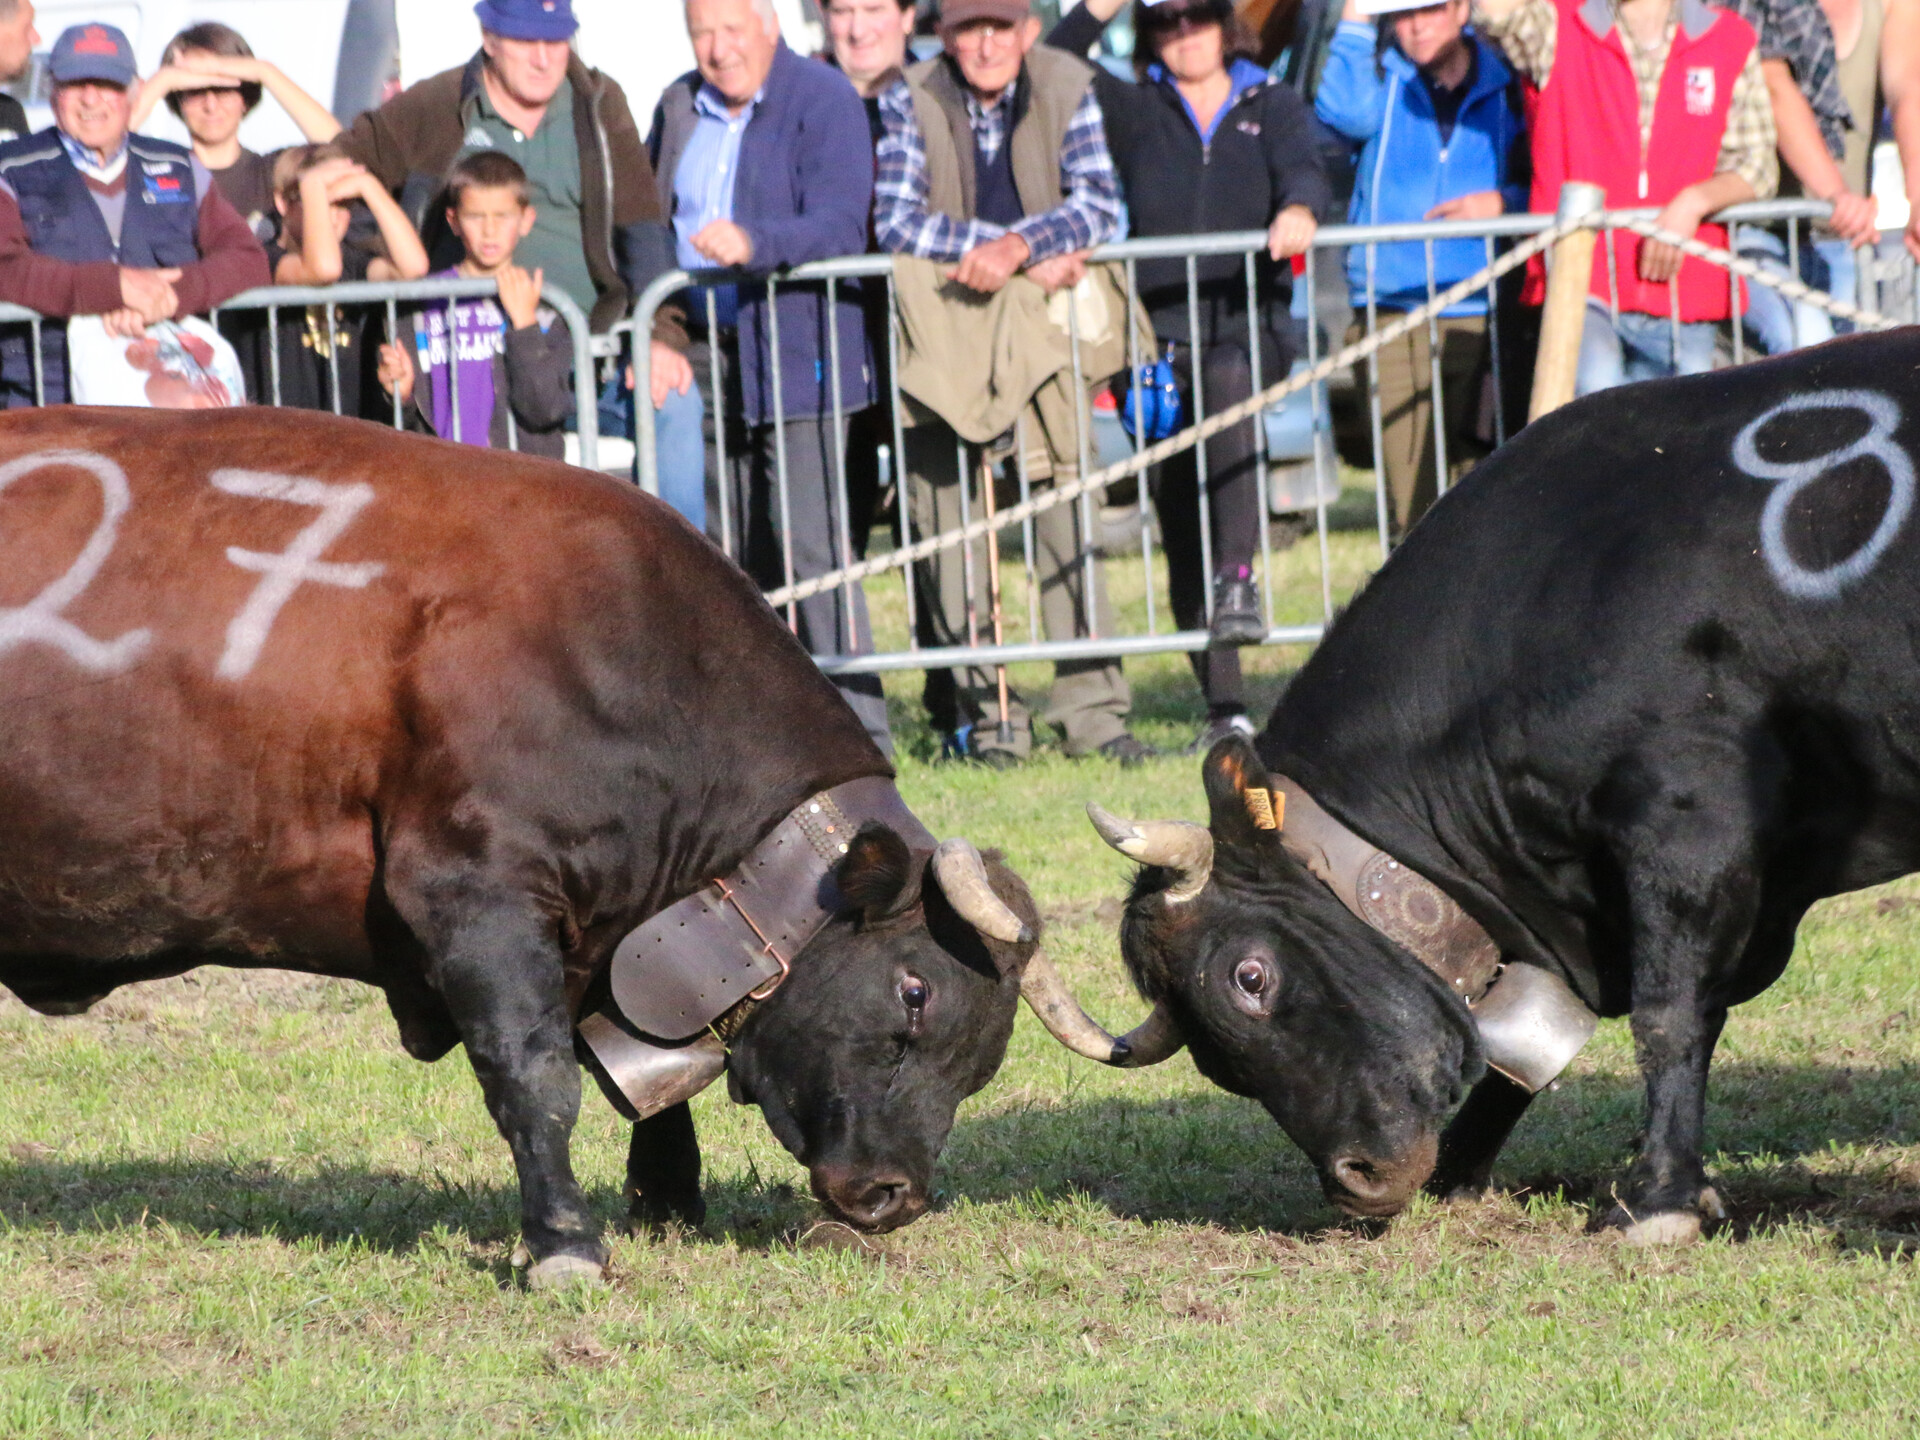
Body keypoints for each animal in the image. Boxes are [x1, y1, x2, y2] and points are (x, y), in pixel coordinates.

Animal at [1059, 336, 1920, 1244]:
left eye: (1250, 978)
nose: (1355, 1179)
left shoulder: (1689, 821)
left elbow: (1671, 1012)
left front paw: (1657, 1197)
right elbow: (1519, 1054)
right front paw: (1463, 1168)